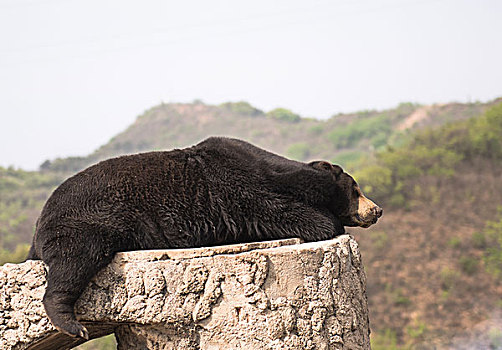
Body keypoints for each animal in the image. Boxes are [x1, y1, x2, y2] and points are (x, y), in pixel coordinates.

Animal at [26, 136, 380, 340]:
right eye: (356, 189)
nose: (376, 210)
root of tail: (37, 226)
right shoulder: (241, 186)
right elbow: (287, 214)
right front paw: (329, 221)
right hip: (85, 220)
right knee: (75, 260)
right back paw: (73, 323)